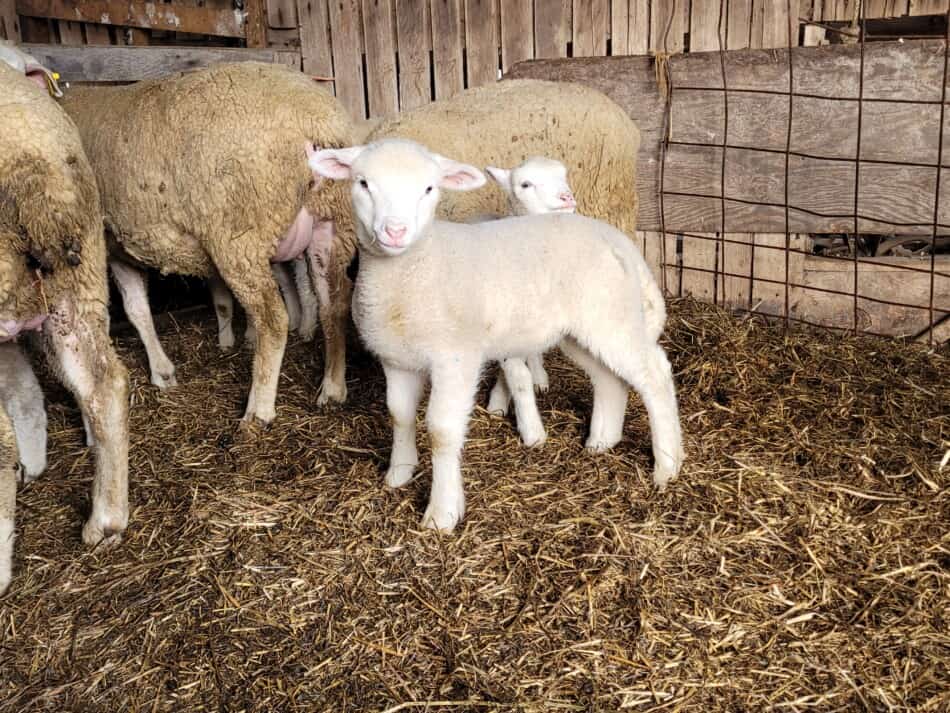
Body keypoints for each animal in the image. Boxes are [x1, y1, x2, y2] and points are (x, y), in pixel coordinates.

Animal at [60, 59, 356, 422]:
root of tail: (314, 120)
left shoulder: (107, 245)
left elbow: (134, 312)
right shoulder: (121, 249)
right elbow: (140, 310)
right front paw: (164, 373)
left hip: (239, 235)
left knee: (273, 319)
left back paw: (257, 411)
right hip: (332, 224)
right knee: (335, 303)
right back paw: (332, 388)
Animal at [310, 140, 684, 528]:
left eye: (429, 188)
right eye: (363, 183)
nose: (395, 232)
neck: (415, 268)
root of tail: (619, 240)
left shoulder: (455, 359)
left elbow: (442, 431)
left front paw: (442, 513)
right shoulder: (396, 359)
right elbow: (399, 414)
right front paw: (398, 474)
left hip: (611, 314)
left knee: (654, 374)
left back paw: (667, 465)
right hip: (581, 329)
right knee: (609, 379)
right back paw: (601, 441)